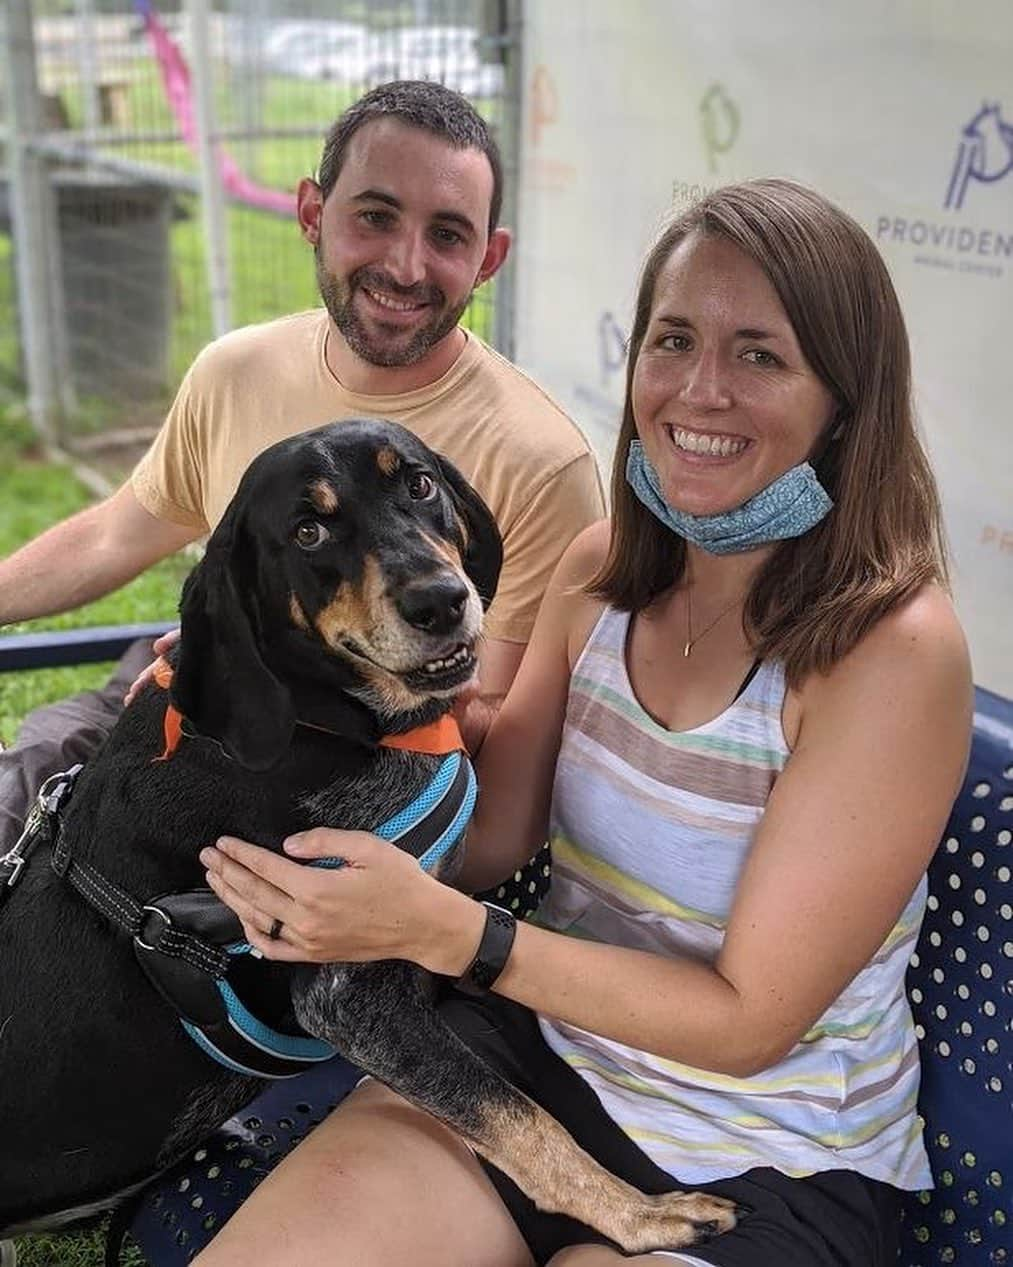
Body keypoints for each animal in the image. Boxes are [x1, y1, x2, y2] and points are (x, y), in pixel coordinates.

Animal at [3, 420, 739, 1251]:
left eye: (417, 483)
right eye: (308, 530)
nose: (441, 602)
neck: (320, 716)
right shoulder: (349, 999)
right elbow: (515, 1111)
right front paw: (638, 1211)